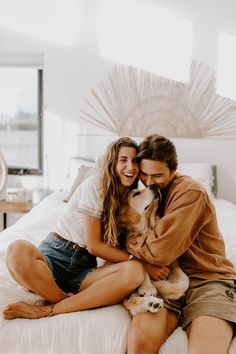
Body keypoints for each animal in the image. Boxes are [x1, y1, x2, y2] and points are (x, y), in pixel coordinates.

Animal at [121, 187, 189, 316]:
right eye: (136, 193)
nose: (154, 186)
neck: (147, 229)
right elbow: (141, 265)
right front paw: (148, 287)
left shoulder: (174, 264)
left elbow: (184, 282)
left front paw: (161, 286)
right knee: (131, 301)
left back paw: (152, 303)